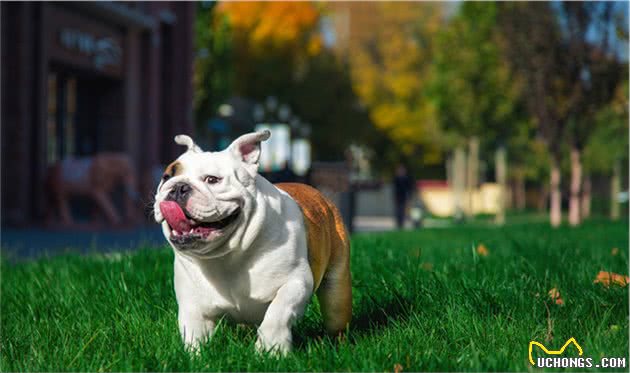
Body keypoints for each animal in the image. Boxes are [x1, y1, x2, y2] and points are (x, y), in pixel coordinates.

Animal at [152, 132, 350, 354]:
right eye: (166, 177)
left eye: (212, 180)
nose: (178, 187)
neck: (227, 254)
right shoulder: (192, 305)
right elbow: (194, 334)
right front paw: (194, 356)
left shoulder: (296, 282)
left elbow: (277, 313)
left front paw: (271, 349)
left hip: (337, 294)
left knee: (335, 315)